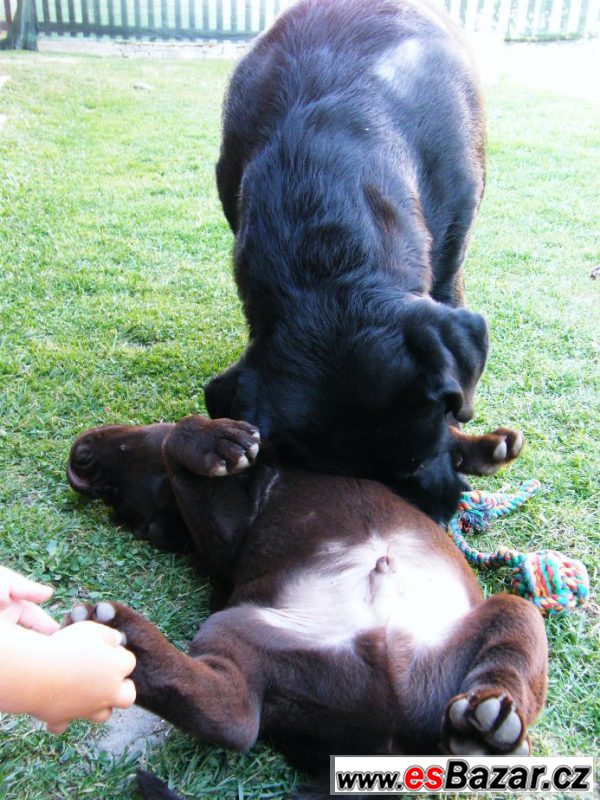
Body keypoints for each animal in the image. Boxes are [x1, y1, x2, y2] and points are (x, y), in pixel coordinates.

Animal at [67, 418, 548, 800]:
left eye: (118, 498)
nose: (80, 464)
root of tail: (384, 743)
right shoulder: (226, 540)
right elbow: (179, 440)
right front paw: (218, 440)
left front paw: (489, 446)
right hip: (235, 627)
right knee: (235, 718)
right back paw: (121, 644)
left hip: (511, 615)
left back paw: (484, 725)